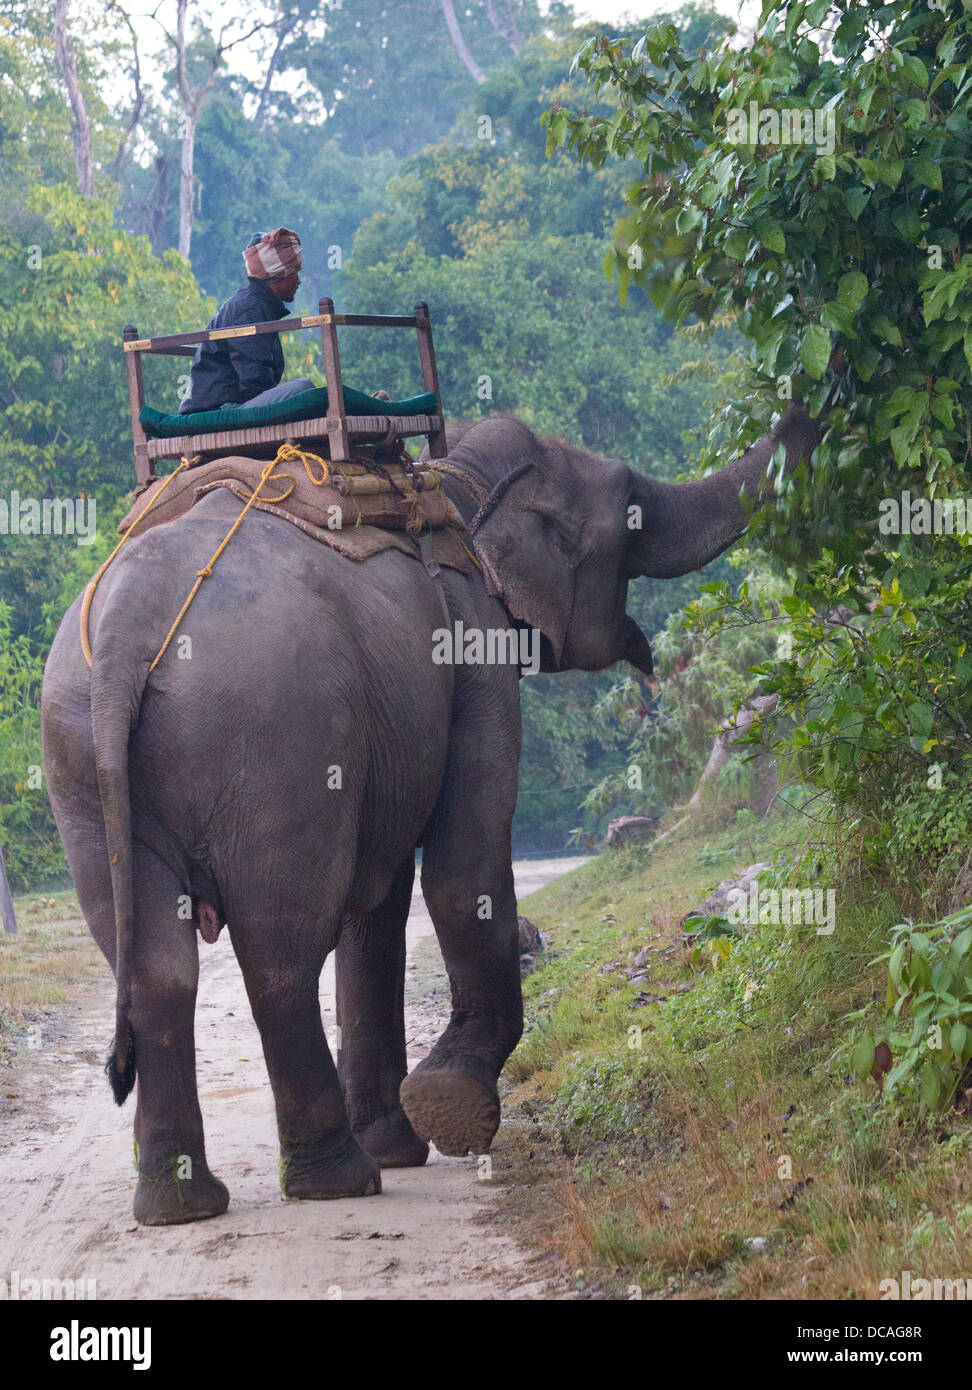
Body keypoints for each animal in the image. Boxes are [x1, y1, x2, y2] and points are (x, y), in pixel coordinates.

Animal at [39, 397, 823, 1223]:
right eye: (632, 508)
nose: (813, 399)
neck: (452, 480)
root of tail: (125, 629)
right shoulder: (473, 647)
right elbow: (460, 867)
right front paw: (449, 1107)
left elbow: (377, 907)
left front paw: (402, 1138)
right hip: (273, 738)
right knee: (281, 951)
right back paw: (337, 1180)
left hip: (81, 767)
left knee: (158, 966)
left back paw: (181, 1202)